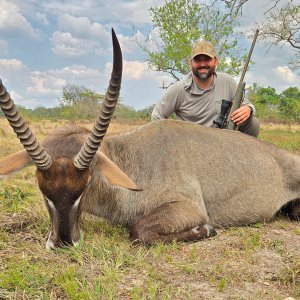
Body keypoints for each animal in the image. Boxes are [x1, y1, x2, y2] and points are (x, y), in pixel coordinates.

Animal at [0, 28, 298, 248]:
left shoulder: (189, 207)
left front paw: (206, 230)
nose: (62, 242)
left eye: (84, 185)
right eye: (43, 189)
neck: (131, 158)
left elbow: (139, 231)